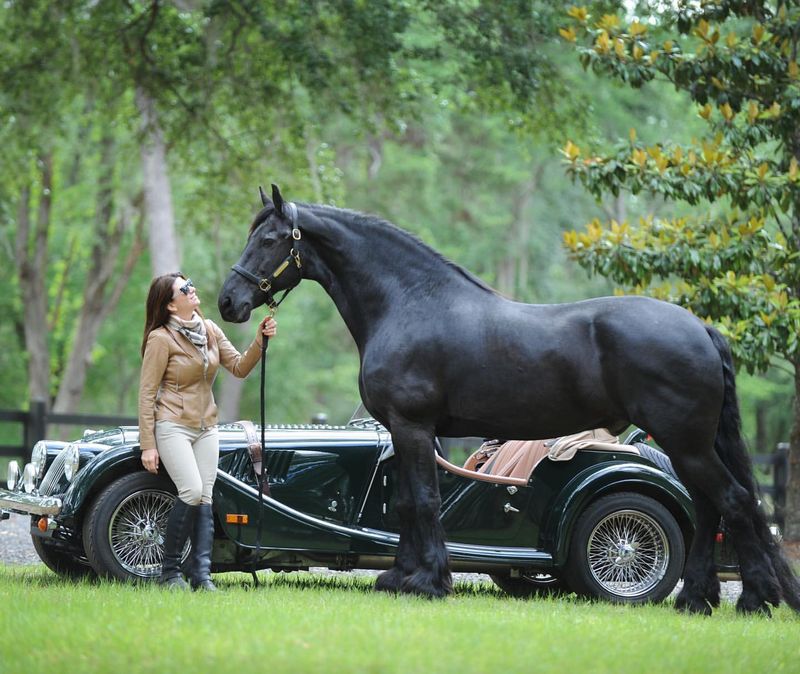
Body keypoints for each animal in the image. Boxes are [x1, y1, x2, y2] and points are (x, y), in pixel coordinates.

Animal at [219, 185, 800, 616]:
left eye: (270, 239)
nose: (229, 301)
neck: (409, 303)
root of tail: (700, 328)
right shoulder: (407, 434)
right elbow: (406, 503)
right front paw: (402, 575)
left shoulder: (411, 426)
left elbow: (422, 501)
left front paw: (429, 582)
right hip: (690, 446)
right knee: (711, 508)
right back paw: (698, 599)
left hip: (687, 444)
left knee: (734, 503)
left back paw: (751, 600)